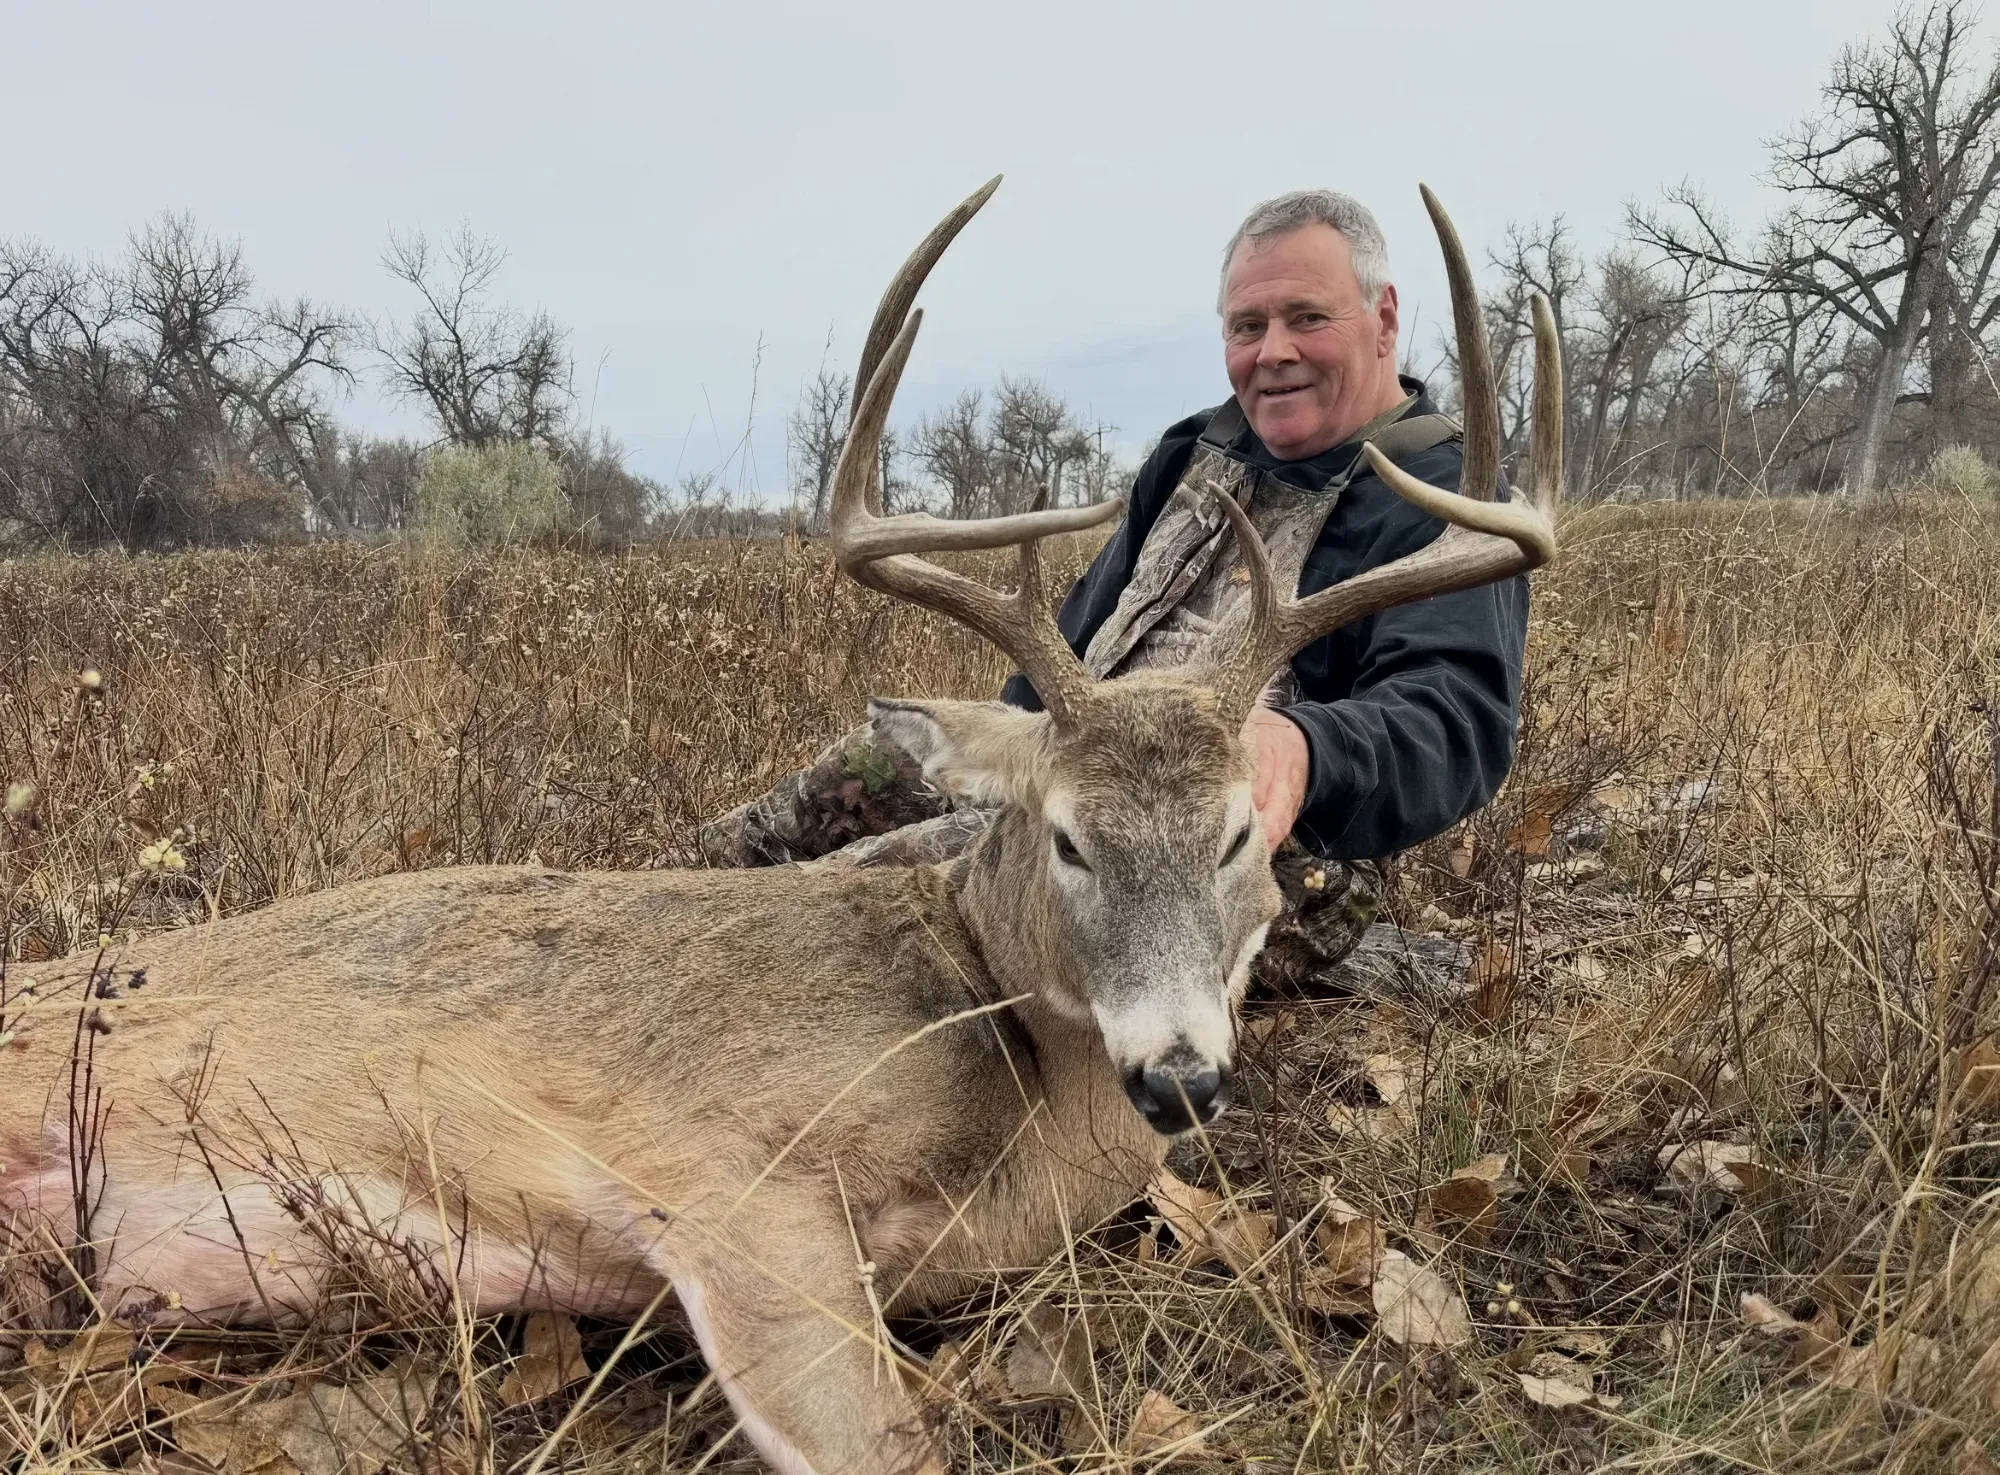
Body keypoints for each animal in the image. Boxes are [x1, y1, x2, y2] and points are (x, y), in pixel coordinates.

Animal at [0, 180, 1561, 1475]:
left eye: (1240, 835)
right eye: (1066, 835)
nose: (1179, 1074)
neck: (1005, 1053)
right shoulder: (731, 1176)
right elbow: (885, 1442)